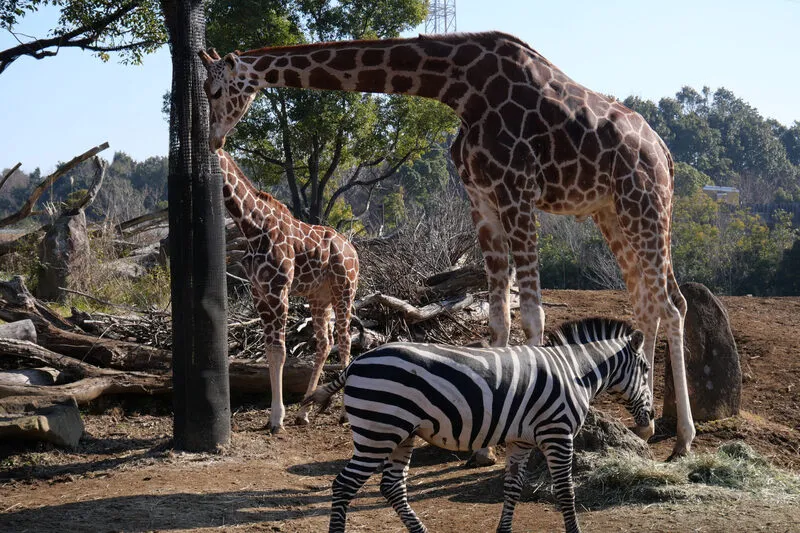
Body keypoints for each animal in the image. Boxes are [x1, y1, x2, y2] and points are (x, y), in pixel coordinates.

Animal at [216, 149, 360, 432]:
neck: (251, 228)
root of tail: (355, 252)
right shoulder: (259, 293)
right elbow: (270, 352)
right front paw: (276, 416)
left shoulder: (278, 290)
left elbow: (280, 351)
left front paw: (276, 418)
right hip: (319, 298)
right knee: (325, 343)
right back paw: (303, 411)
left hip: (344, 291)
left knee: (345, 340)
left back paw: (344, 415)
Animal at [304, 316, 652, 532]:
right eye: (646, 369)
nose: (649, 427)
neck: (575, 372)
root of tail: (354, 364)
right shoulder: (558, 434)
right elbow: (566, 491)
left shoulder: (521, 440)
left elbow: (512, 488)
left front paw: (504, 530)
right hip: (378, 433)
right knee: (344, 485)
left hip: (401, 435)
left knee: (391, 486)